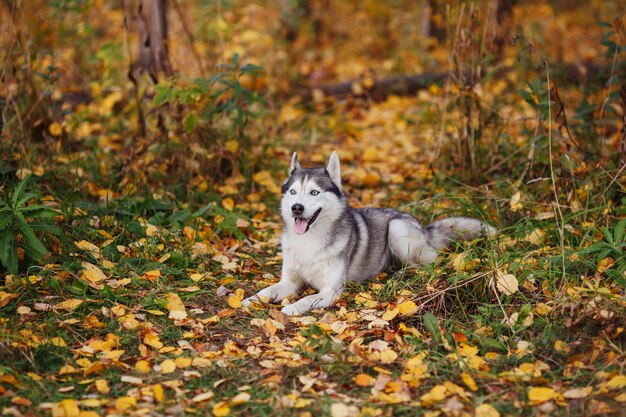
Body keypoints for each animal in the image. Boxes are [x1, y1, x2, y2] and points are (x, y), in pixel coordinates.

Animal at [241, 151, 494, 314]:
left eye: (314, 192)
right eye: (293, 192)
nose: (296, 208)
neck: (309, 242)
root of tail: (421, 226)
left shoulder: (331, 291)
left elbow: (307, 300)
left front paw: (291, 307)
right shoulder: (290, 281)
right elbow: (267, 290)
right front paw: (250, 299)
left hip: (397, 229)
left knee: (428, 263)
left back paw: (399, 274)